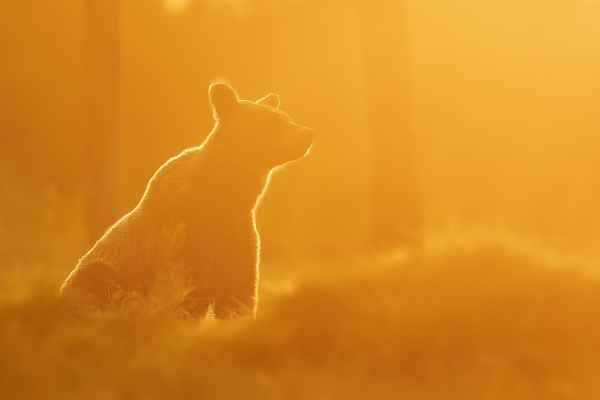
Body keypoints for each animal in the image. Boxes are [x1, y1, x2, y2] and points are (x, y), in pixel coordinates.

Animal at [59, 83, 314, 318]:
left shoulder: (237, 239)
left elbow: (238, 296)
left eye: (286, 117)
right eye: (271, 122)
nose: (307, 133)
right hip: (103, 273)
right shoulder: (181, 236)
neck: (225, 202)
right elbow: (181, 297)